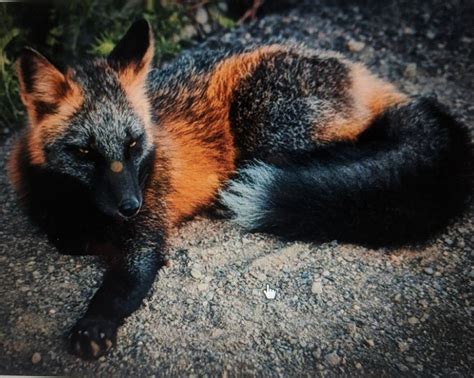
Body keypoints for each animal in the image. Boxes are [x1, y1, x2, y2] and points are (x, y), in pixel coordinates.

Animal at [6, 18, 470, 360]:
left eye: (134, 144)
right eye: (84, 152)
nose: (129, 205)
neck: (82, 211)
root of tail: (361, 73)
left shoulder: (148, 235)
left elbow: (123, 283)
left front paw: (95, 323)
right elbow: (66, 240)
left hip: (266, 124)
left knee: (364, 148)